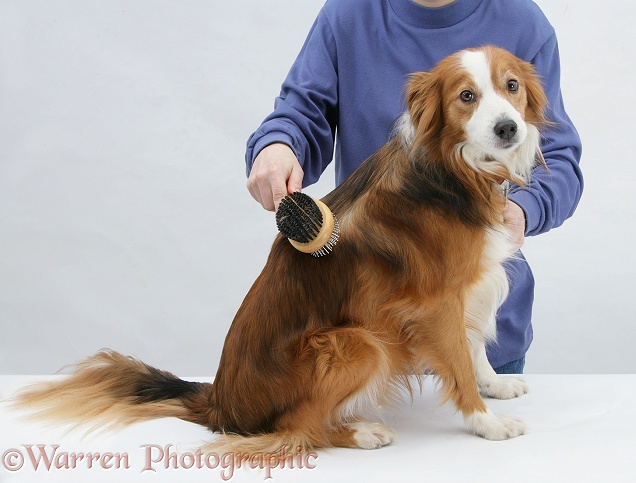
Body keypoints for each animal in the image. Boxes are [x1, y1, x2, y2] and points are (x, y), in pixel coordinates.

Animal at [12, 44, 548, 454]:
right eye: (466, 97)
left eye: (511, 87)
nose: (508, 128)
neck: (450, 168)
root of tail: (219, 402)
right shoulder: (436, 302)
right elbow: (458, 360)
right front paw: (485, 421)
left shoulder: (469, 286)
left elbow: (474, 347)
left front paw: (495, 385)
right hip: (359, 343)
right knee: (296, 431)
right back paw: (361, 431)